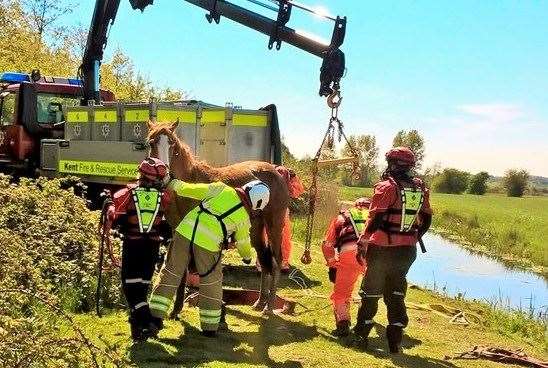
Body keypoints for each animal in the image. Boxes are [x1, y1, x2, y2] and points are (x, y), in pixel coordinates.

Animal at [146, 121, 292, 314]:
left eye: (173, 147)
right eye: (151, 143)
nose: (164, 176)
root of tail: (275, 171)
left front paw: (177, 308)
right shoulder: (177, 230)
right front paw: (176, 309)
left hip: (274, 224)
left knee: (276, 261)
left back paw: (269, 307)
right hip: (255, 229)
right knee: (264, 260)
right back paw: (260, 302)